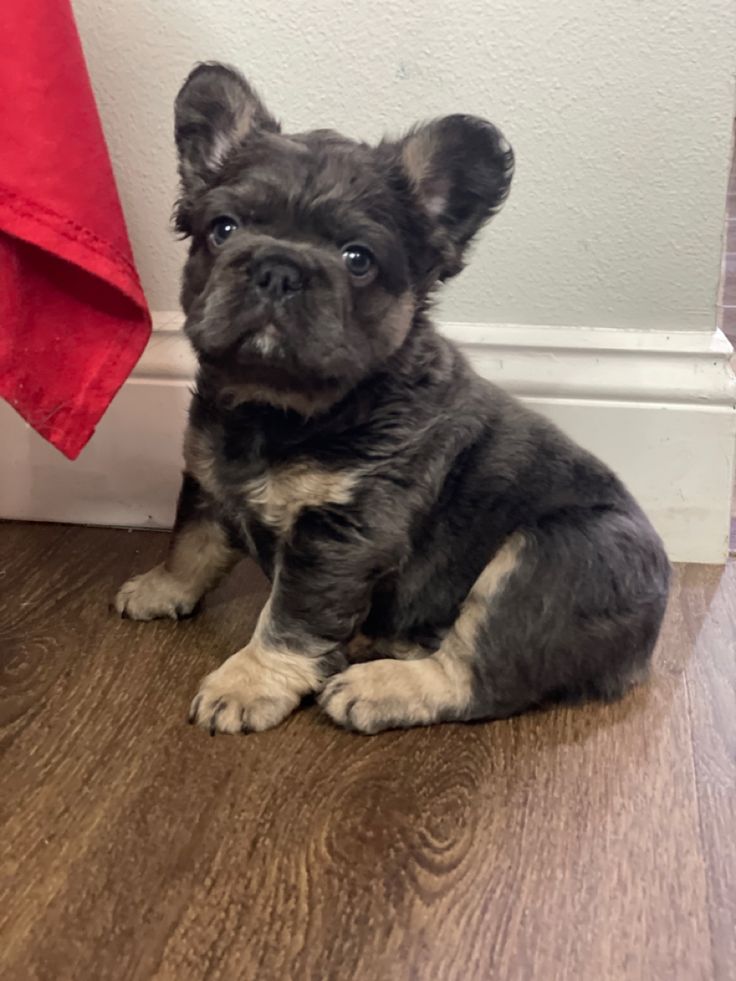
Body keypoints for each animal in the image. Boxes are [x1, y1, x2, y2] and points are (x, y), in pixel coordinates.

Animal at [113, 63, 668, 736]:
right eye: (223, 230)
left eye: (358, 259)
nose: (278, 268)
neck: (276, 410)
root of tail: (647, 633)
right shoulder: (207, 478)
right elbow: (191, 542)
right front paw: (162, 587)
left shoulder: (340, 537)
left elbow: (290, 618)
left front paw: (249, 681)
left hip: (552, 558)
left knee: (478, 674)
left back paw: (383, 685)